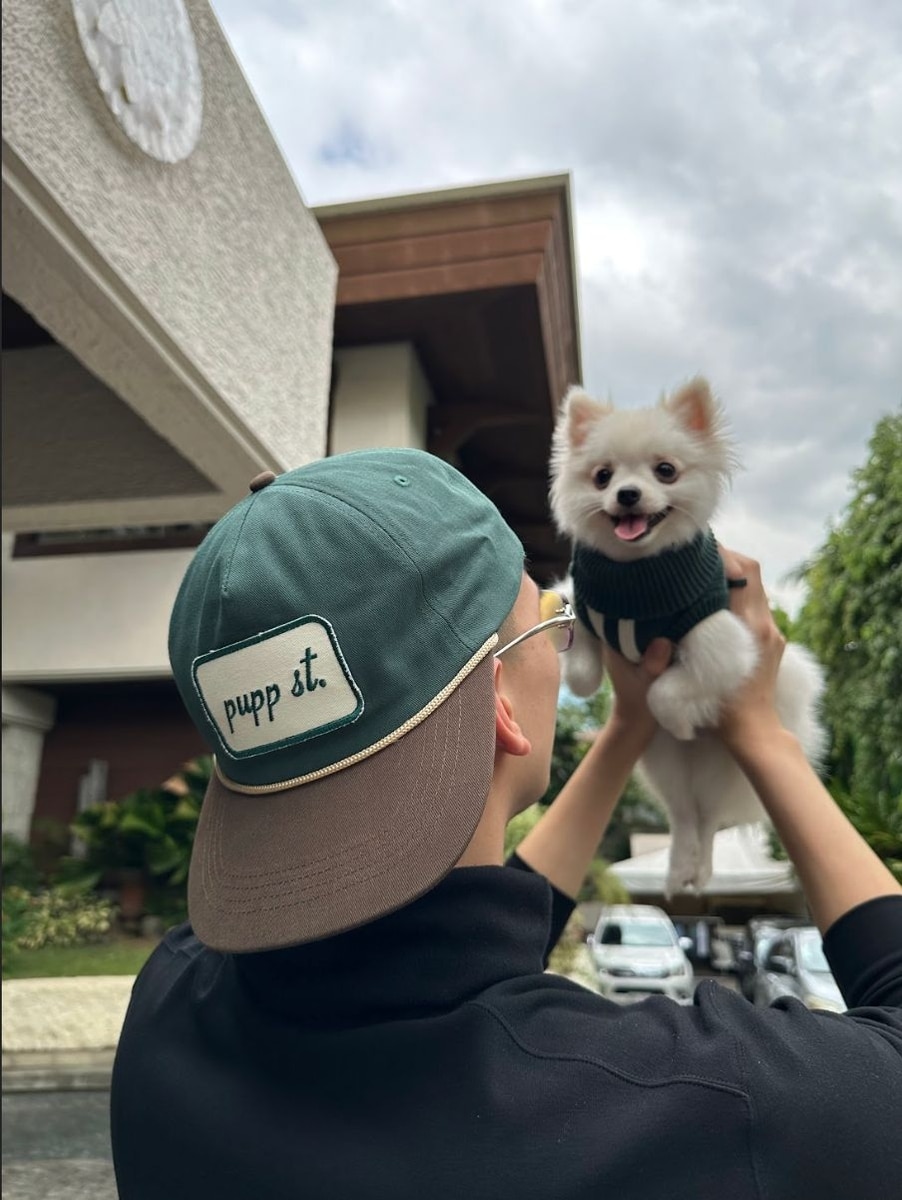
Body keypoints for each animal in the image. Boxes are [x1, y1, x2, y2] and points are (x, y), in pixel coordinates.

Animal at [550, 376, 825, 895]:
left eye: (666, 471)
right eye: (602, 477)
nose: (628, 494)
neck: (637, 578)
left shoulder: (724, 641)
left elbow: (665, 692)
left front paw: (679, 718)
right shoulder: (580, 597)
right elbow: (579, 658)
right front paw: (584, 677)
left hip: (718, 768)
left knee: (708, 818)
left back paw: (702, 870)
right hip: (664, 767)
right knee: (683, 817)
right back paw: (681, 869)